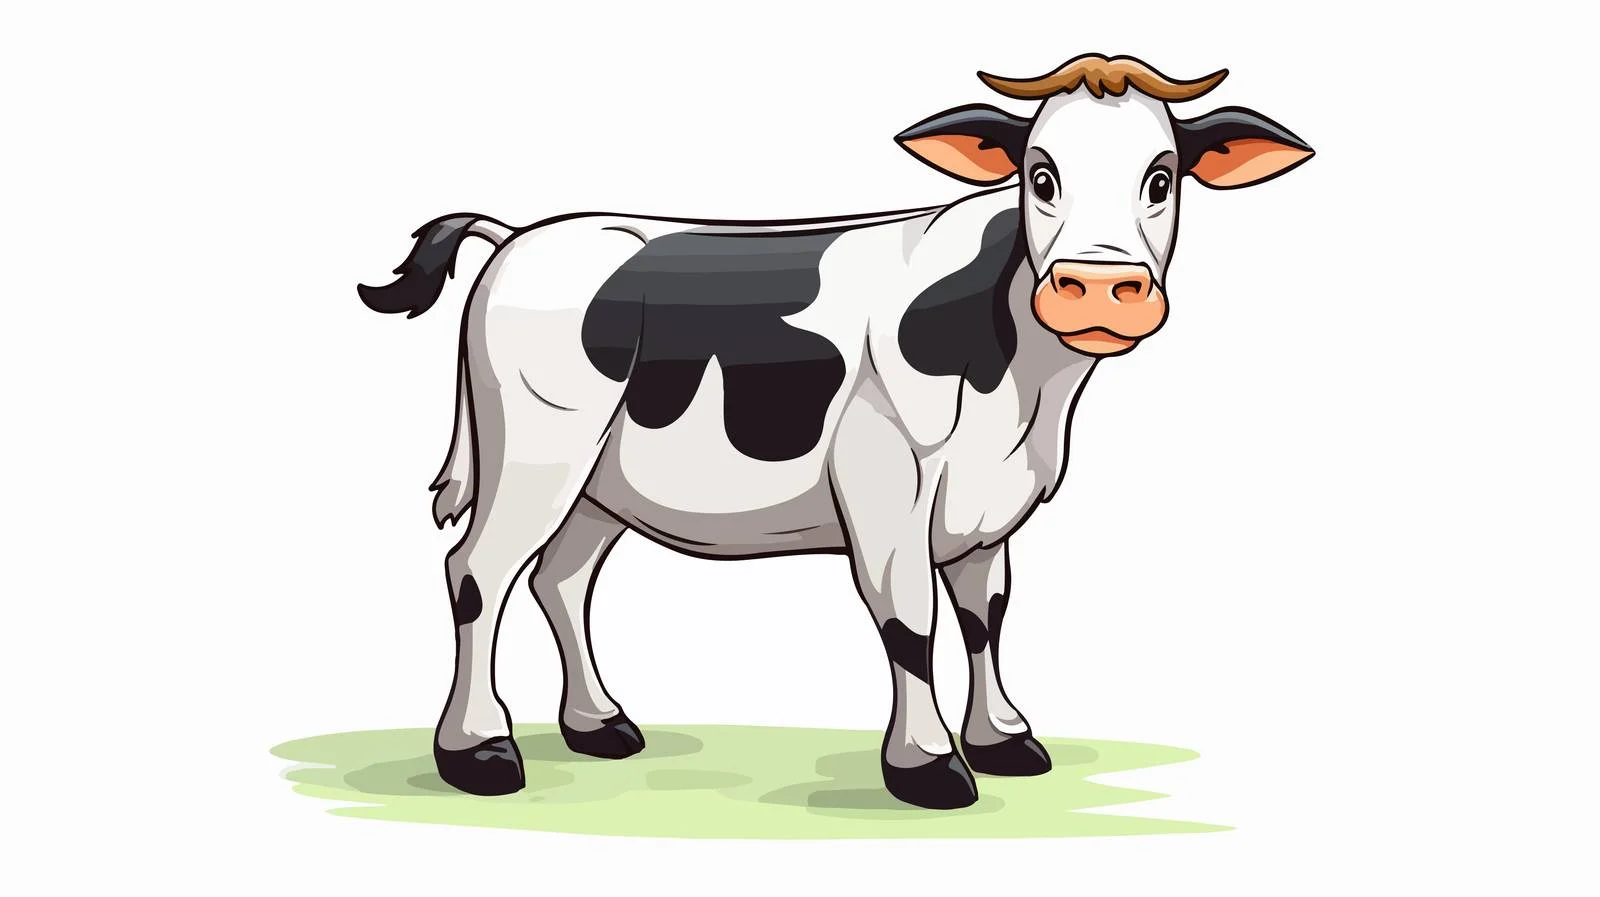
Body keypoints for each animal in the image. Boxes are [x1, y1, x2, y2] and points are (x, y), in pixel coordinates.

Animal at [357, 54, 1313, 810]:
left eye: (1162, 177)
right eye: (1040, 175)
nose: (1099, 288)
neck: (1024, 393)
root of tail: (521, 233)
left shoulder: (987, 510)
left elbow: (987, 616)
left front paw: (1004, 739)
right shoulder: (887, 485)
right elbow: (910, 621)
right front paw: (928, 765)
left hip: (599, 483)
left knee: (561, 578)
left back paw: (599, 723)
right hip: (535, 452)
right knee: (478, 573)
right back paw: (479, 750)